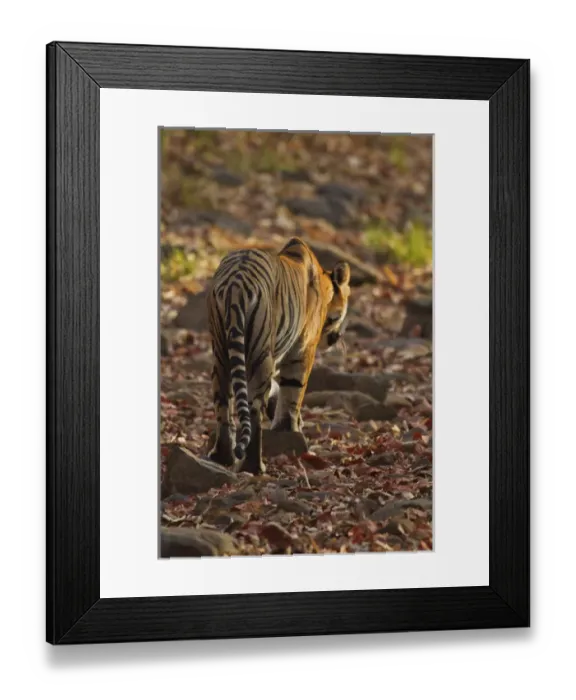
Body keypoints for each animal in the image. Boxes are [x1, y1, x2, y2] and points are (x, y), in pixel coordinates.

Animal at [206, 236, 351, 475]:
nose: (335, 338)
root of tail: (236, 284)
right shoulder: (302, 350)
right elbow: (293, 393)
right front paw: (289, 429)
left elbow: (277, 389)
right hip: (260, 353)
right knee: (254, 410)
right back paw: (255, 466)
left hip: (222, 353)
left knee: (223, 402)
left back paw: (222, 457)